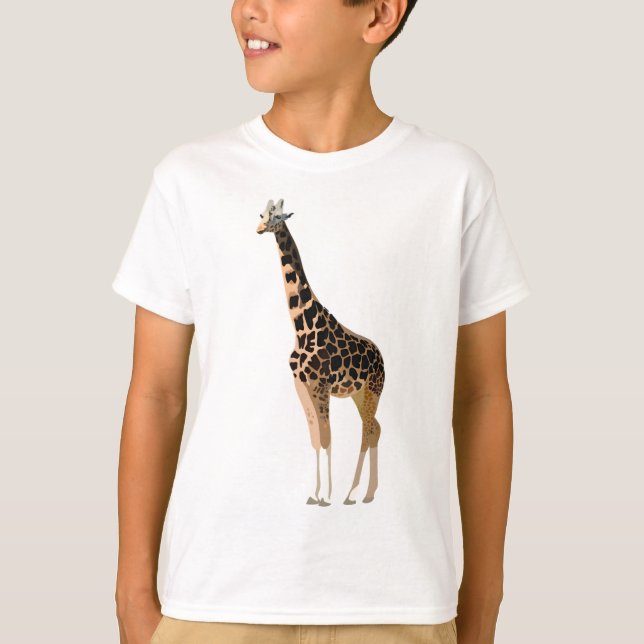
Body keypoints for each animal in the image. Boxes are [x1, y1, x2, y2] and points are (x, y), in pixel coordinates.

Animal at [256, 198, 385, 506]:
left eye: (278, 216)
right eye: (262, 213)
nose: (259, 228)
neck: (301, 326)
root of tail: (382, 358)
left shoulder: (321, 385)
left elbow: (327, 438)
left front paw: (326, 495)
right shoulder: (301, 384)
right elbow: (315, 438)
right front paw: (314, 494)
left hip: (373, 389)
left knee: (367, 431)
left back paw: (351, 493)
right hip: (359, 393)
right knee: (375, 429)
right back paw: (368, 493)